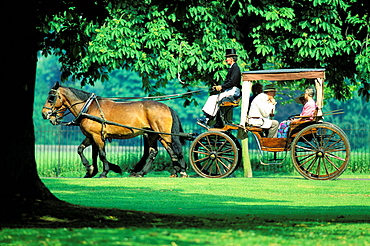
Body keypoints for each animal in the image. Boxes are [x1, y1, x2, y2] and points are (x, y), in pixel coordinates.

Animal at [42, 81, 188, 178]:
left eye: (51, 97)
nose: (44, 114)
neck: (88, 108)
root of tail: (167, 107)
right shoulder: (90, 137)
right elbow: (82, 150)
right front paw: (90, 169)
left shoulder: (97, 136)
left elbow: (102, 154)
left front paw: (104, 171)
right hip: (154, 135)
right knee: (160, 152)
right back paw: (149, 172)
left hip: (165, 135)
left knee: (176, 149)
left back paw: (182, 171)